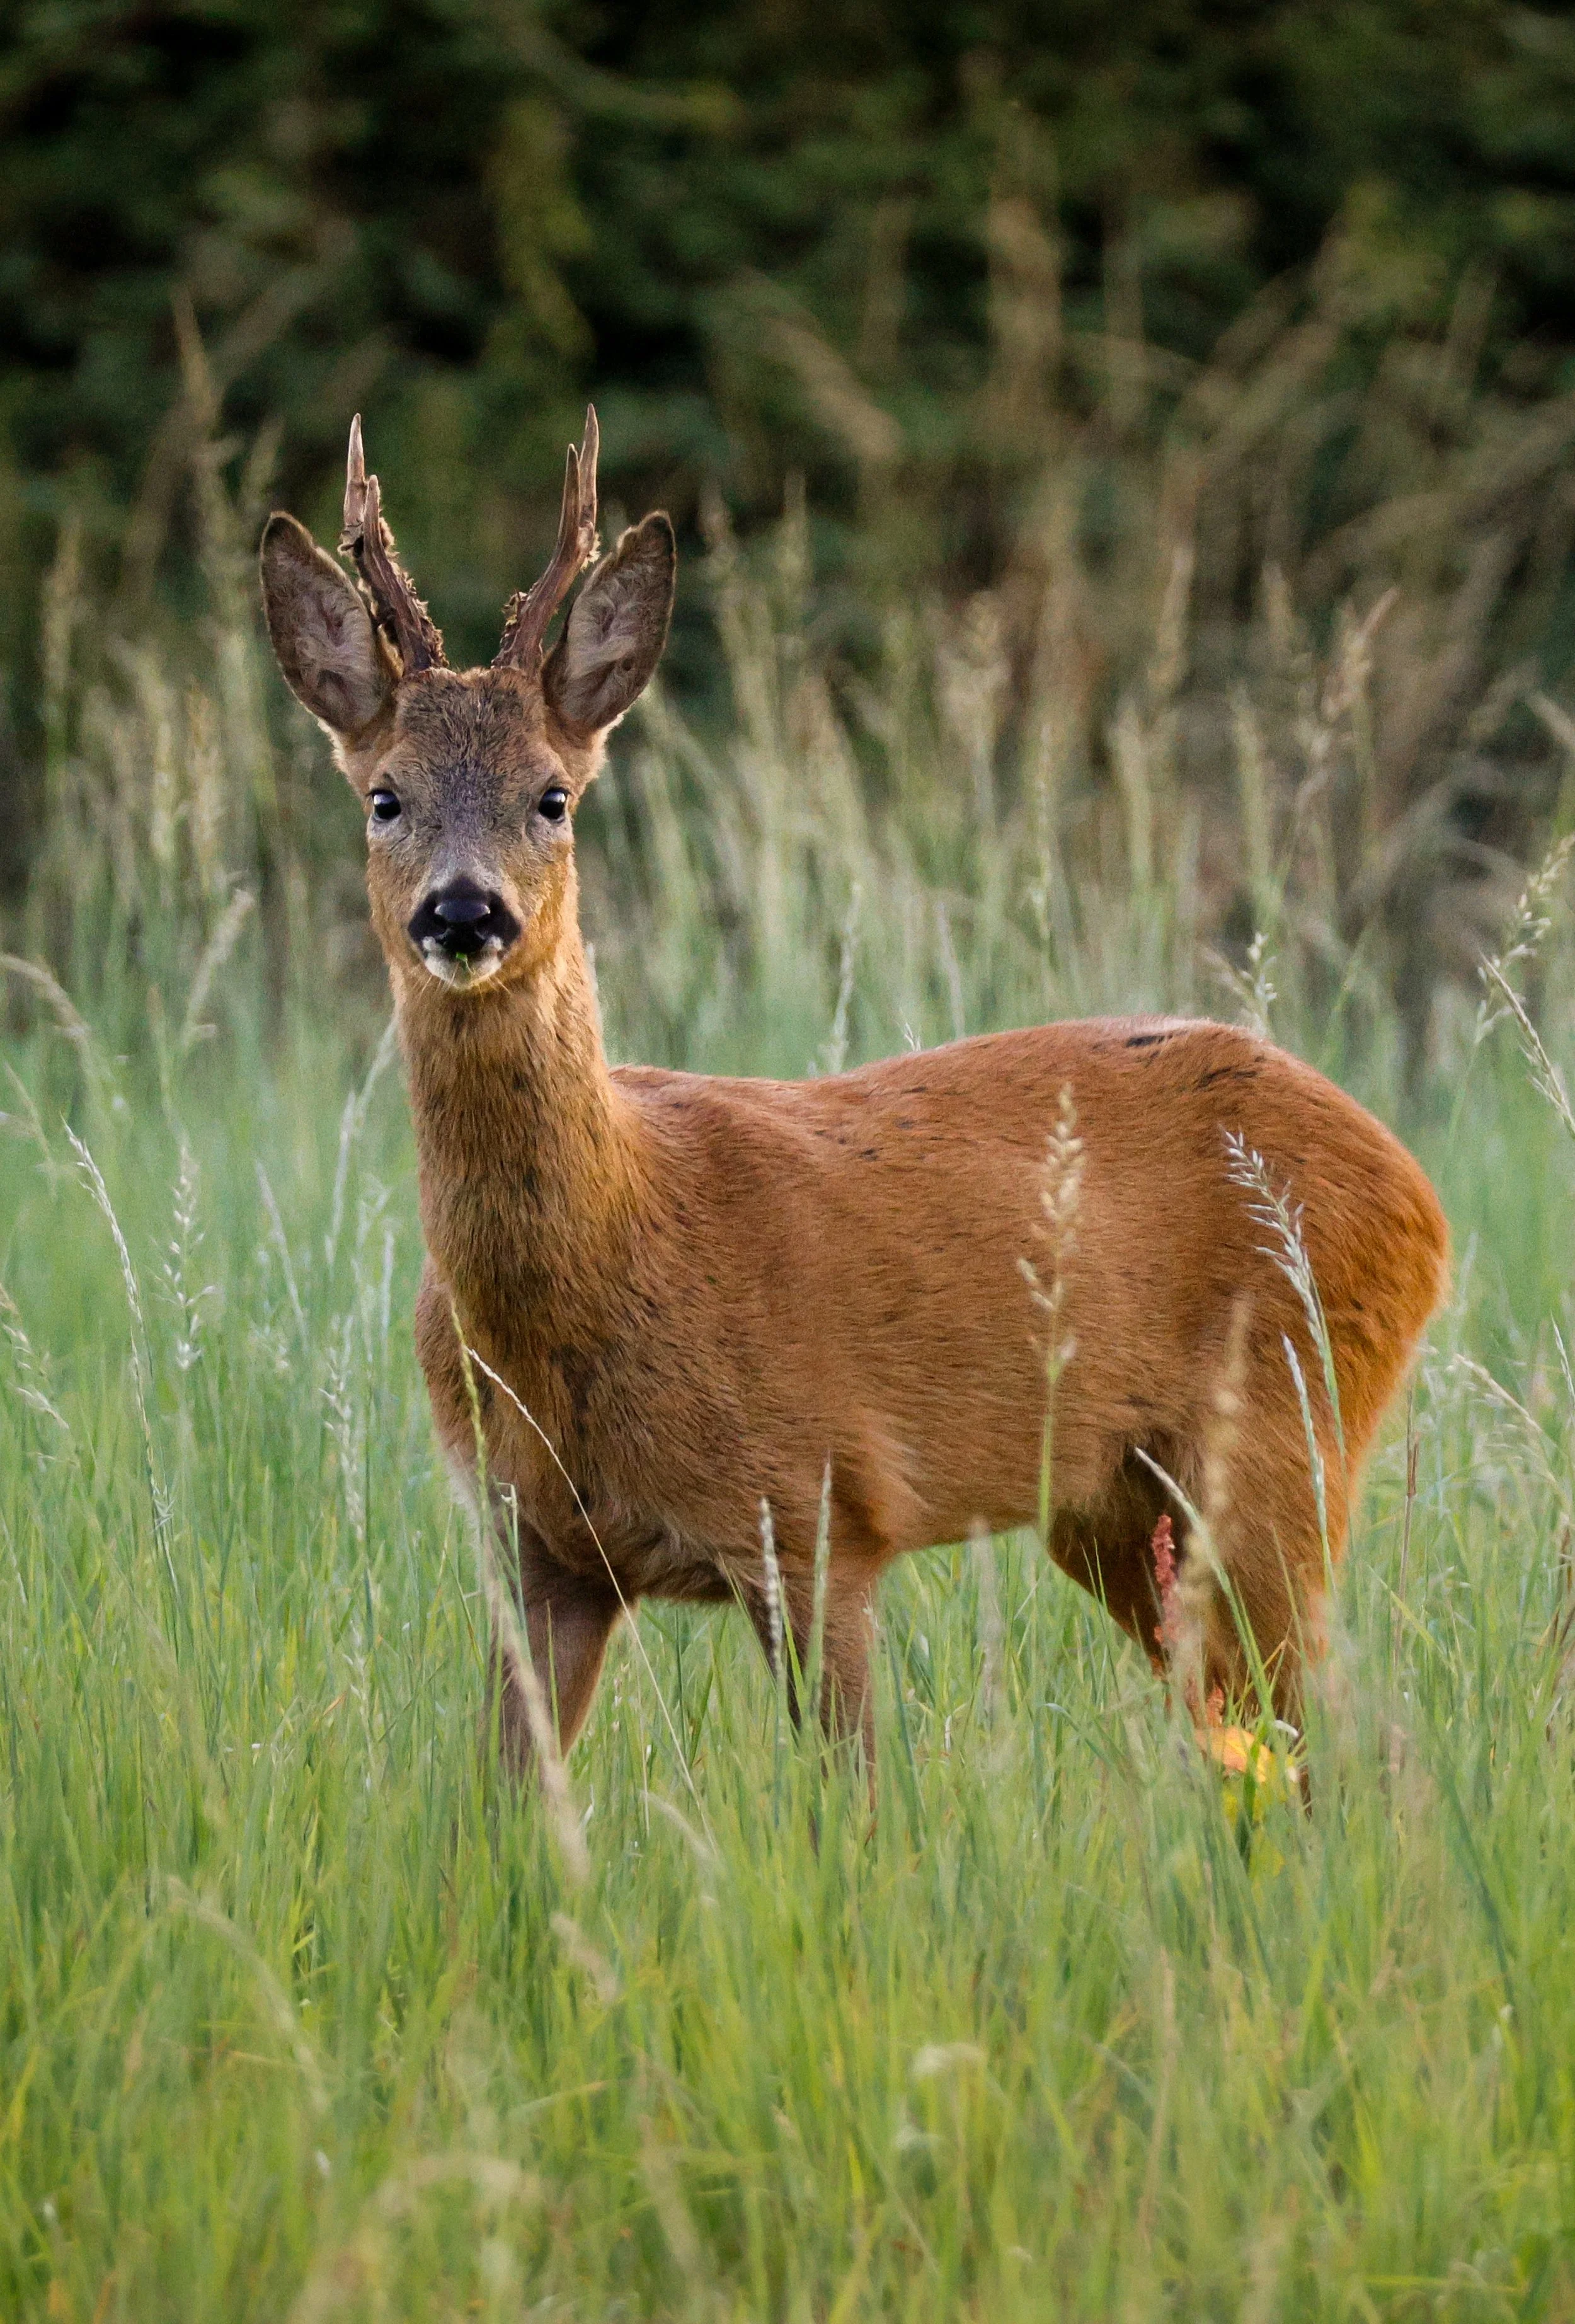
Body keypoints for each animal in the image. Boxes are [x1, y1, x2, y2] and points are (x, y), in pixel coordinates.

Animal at [258, 409, 1450, 1780]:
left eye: (551, 795)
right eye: (384, 796)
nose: (465, 911)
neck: (612, 1252)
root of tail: (1420, 1198)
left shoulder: (819, 1505)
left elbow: (857, 1799)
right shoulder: (533, 1551)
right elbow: (507, 1800)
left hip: (1285, 1433)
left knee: (1354, 1738)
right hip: (1118, 1508)